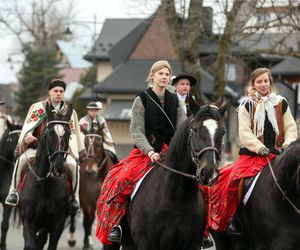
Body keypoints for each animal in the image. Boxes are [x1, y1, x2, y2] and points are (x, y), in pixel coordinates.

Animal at [19, 103, 73, 250]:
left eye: (69, 134)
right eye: (49, 133)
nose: (57, 168)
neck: (44, 184)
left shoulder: (57, 224)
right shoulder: (28, 221)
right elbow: (30, 245)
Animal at [104, 99, 229, 250]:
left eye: (222, 133)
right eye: (195, 129)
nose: (209, 171)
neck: (176, 198)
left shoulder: (192, 244)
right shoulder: (147, 243)